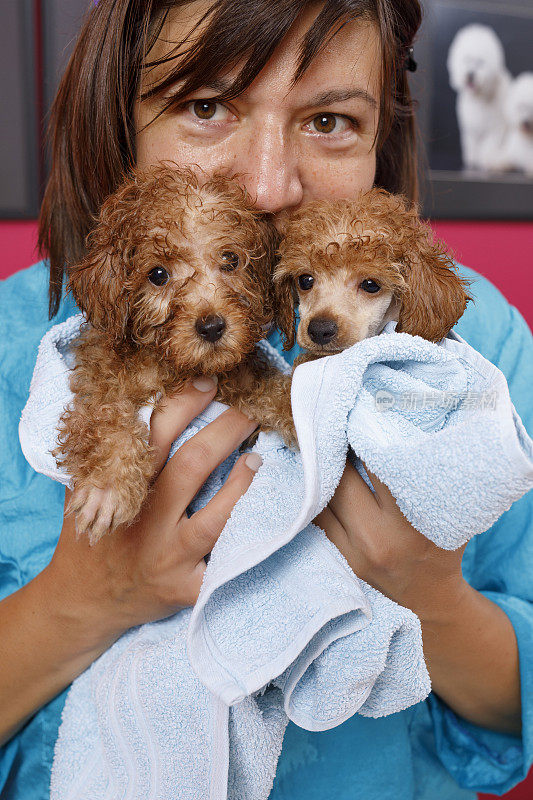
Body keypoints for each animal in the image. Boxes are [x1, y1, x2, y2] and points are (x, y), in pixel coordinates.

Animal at [54, 166, 294, 548]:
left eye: (231, 259)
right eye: (158, 275)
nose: (212, 327)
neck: (176, 368)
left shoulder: (238, 381)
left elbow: (271, 390)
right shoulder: (100, 378)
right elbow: (104, 414)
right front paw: (107, 483)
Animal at [446, 23, 510, 170]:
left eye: (480, 62)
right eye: (466, 59)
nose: (470, 74)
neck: (480, 96)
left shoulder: (494, 127)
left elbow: (488, 145)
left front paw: (484, 160)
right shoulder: (471, 127)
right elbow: (472, 143)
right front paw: (472, 159)